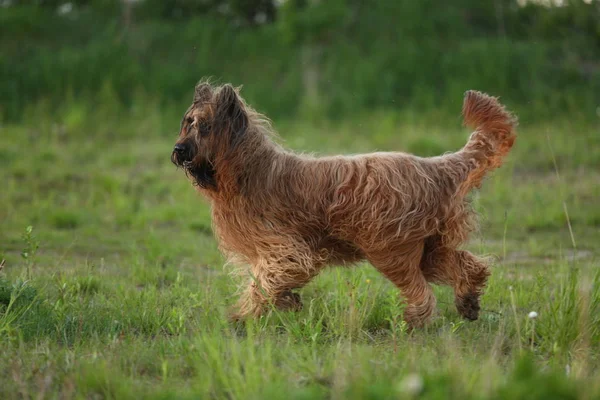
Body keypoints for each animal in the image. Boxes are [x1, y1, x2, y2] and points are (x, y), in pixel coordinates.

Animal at [170, 82, 516, 328]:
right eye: (188, 123)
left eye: (205, 126)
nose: (178, 149)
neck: (247, 170)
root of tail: (434, 167)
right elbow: (270, 282)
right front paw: (285, 302)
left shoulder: (287, 249)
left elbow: (265, 282)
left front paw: (243, 316)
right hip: (429, 247)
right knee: (470, 266)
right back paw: (467, 302)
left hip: (389, 249)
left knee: (422, 290)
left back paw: (417, 321)